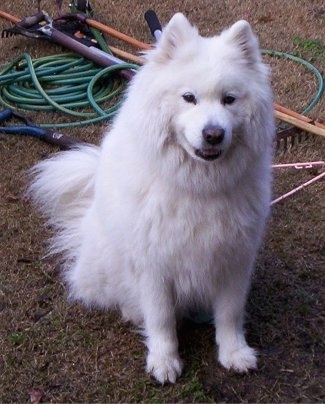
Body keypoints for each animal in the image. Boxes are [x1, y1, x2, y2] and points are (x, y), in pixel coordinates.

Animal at [29, 12, 274, 384]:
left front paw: (234, 353)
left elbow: (230, 314)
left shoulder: (234, 259)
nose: (213, 134)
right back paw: (132, 311)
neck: (197, 188)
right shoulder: (153, 265)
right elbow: (161, 318)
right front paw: (164, 361)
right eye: (189, 97)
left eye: (229, 99)